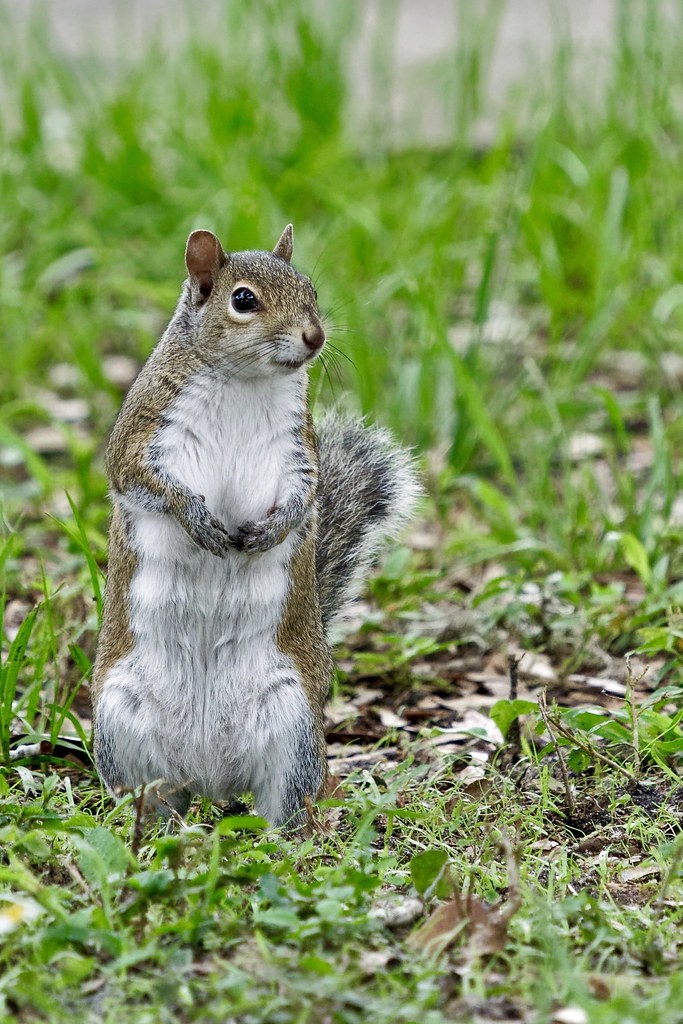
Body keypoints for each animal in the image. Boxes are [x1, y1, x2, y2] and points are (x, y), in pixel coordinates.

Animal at [91, 224, 420, 829]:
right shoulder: (141, 435)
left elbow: (305, 499)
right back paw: (162, 833)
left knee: (283, 808)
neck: (243, 382)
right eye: (243, 300)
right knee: (152, 800)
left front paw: (271, 532)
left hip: (293, 727)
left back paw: (275, 838)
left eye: (310, 289)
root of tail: (207, 777)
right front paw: (197, 519)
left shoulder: (298, 453)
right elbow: (144, 482)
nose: (314, 337)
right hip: (122, 723)